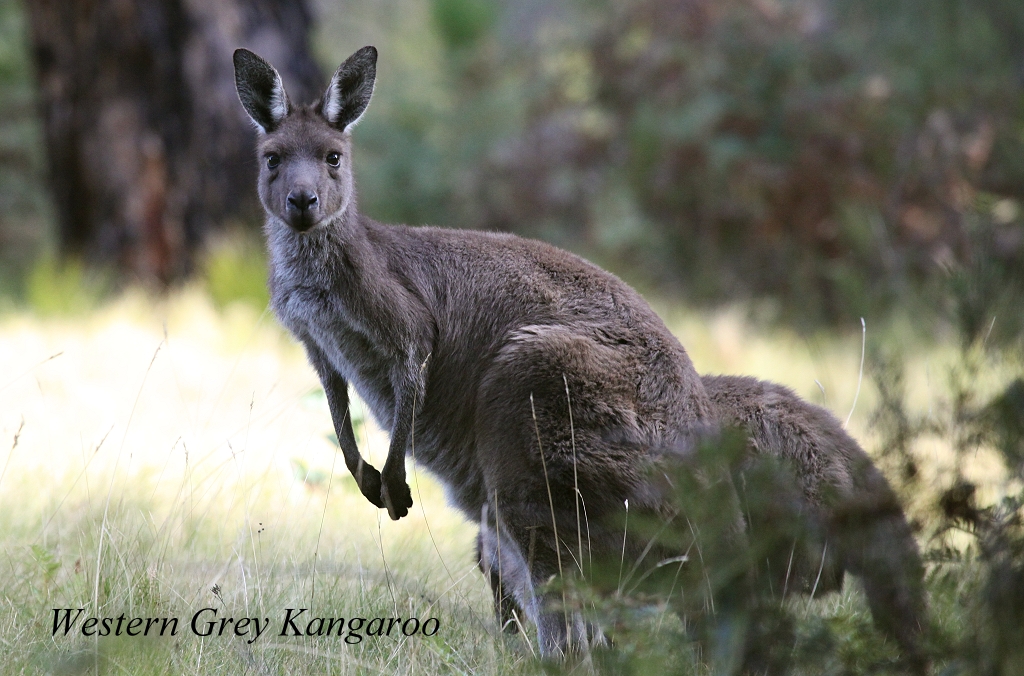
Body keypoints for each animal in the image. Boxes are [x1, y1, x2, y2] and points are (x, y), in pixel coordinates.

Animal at [233, 45, 926, 671]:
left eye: (333, 158)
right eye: (272, 160)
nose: (302, 203)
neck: (327, 259)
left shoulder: (406, 323)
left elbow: (410, 376)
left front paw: (394, 485)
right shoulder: (315, 341)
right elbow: (337, 403)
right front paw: (367, 475)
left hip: (533, 399)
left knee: (574, 623)